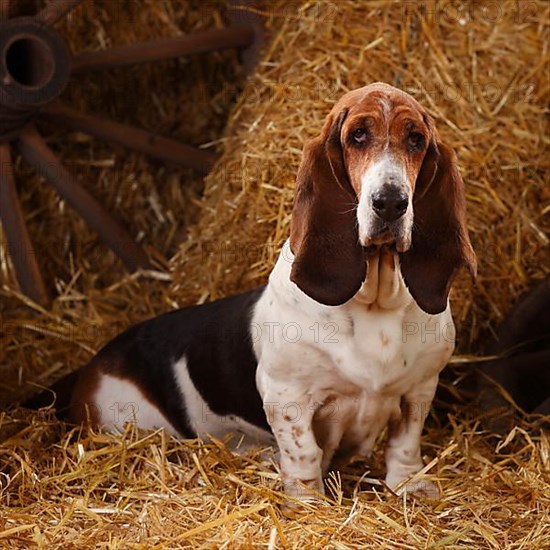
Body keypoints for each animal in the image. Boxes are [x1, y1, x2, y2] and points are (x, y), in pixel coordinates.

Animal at [72, 83, 478, 504]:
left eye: (416, 139)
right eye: (357, 136)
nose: (390, 202)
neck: (376, 302)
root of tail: (88, 368)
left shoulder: (420, 387)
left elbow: (406, 442)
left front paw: (409, 486)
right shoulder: (287, 396)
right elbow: (304, 450)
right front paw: (307, 500)